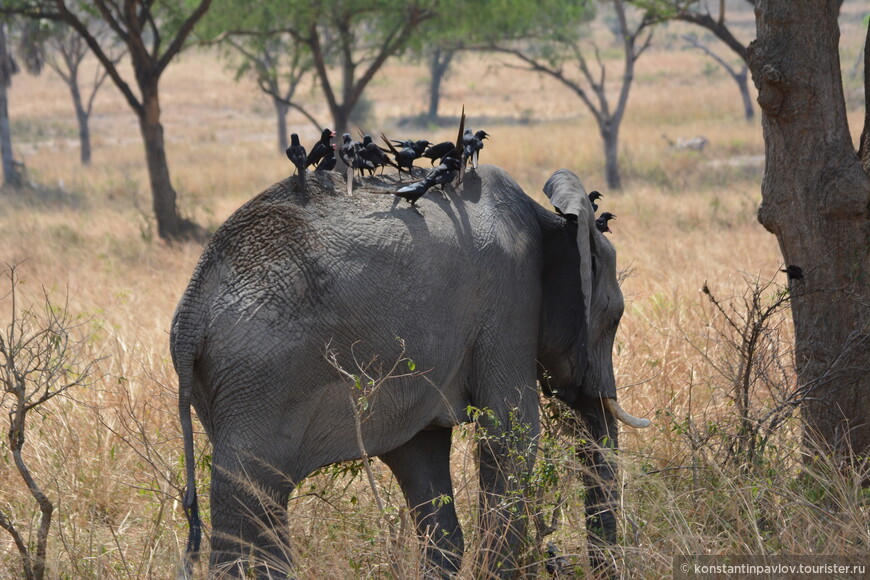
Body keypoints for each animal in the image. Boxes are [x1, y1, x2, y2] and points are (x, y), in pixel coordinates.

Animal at [172, 165, 648, 576]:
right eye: (615, 318)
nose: (566, 561)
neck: (548, 216)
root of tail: (192, 309)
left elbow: (420, 454)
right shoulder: (509, 300)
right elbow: (512, 431)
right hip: (260, 375)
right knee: (248, 491)